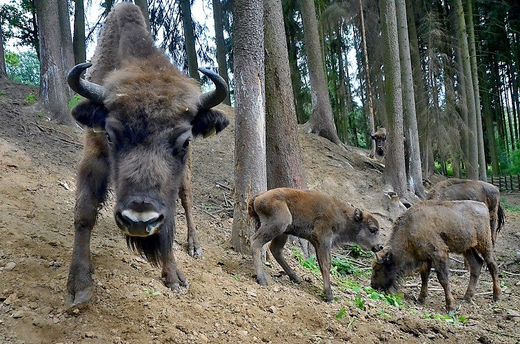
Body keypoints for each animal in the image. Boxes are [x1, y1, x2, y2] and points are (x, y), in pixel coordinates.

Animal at [65, 2, 228, 306]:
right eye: (110, 134)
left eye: (185, 141)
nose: (139, 220)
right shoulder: (93, 154)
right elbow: (84, 212)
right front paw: (78, 285)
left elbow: (170, 220)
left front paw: (174, 277)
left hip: (186, 176)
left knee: (187, 200)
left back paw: (194, 246)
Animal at [248, 187, 382, 302]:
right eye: (372, 229)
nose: (380, 246)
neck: (344, 216)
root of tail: (259, 197)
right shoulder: (322, 240)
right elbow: (325, 265)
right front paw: (329, 296)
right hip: (278, 225)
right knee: (255, 242)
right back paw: (263, 280)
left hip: (284, 231)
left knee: (276, 250)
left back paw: (295, 278)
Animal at [372, 200, 502, 314]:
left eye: (378, 269)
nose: (373, 286)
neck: (410, 228)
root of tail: (483, 206)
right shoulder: (426, 258)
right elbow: (424, 277)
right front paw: (421, 299)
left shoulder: (439, 254)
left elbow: (443, 279)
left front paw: (450, 307)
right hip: (467, 248)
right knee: (476, 264)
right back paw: (467, 298)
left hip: (484, 244)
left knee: (492, 265)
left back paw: (496, 296)